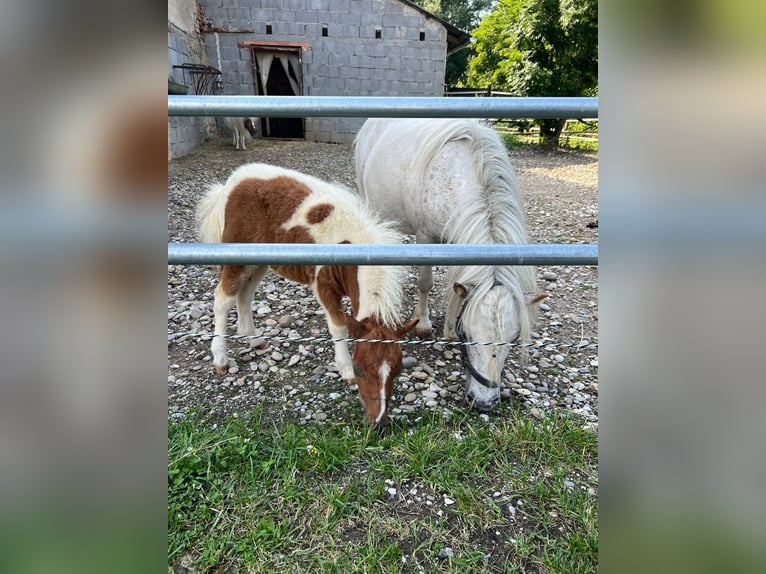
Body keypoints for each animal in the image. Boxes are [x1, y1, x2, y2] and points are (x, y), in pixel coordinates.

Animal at [195, 164, 416, 426]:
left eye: (398, 369)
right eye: (359, 368)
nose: (378, 422)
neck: (350, 246)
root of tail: (230, 182)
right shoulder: (323, 285)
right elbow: (338, 326)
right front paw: (344, 370)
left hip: (259, 260)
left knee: (245, 295)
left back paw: (255, 340)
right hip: (237, 256)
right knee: (223, 299)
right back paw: (220, 359)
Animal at [356, 119, 548, 412]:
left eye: (514, 338)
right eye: (467, 335)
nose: (483, 401)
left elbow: (458, 288)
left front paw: (447, 326)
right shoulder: (425, 237)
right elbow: (425, 282)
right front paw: (424, 324)